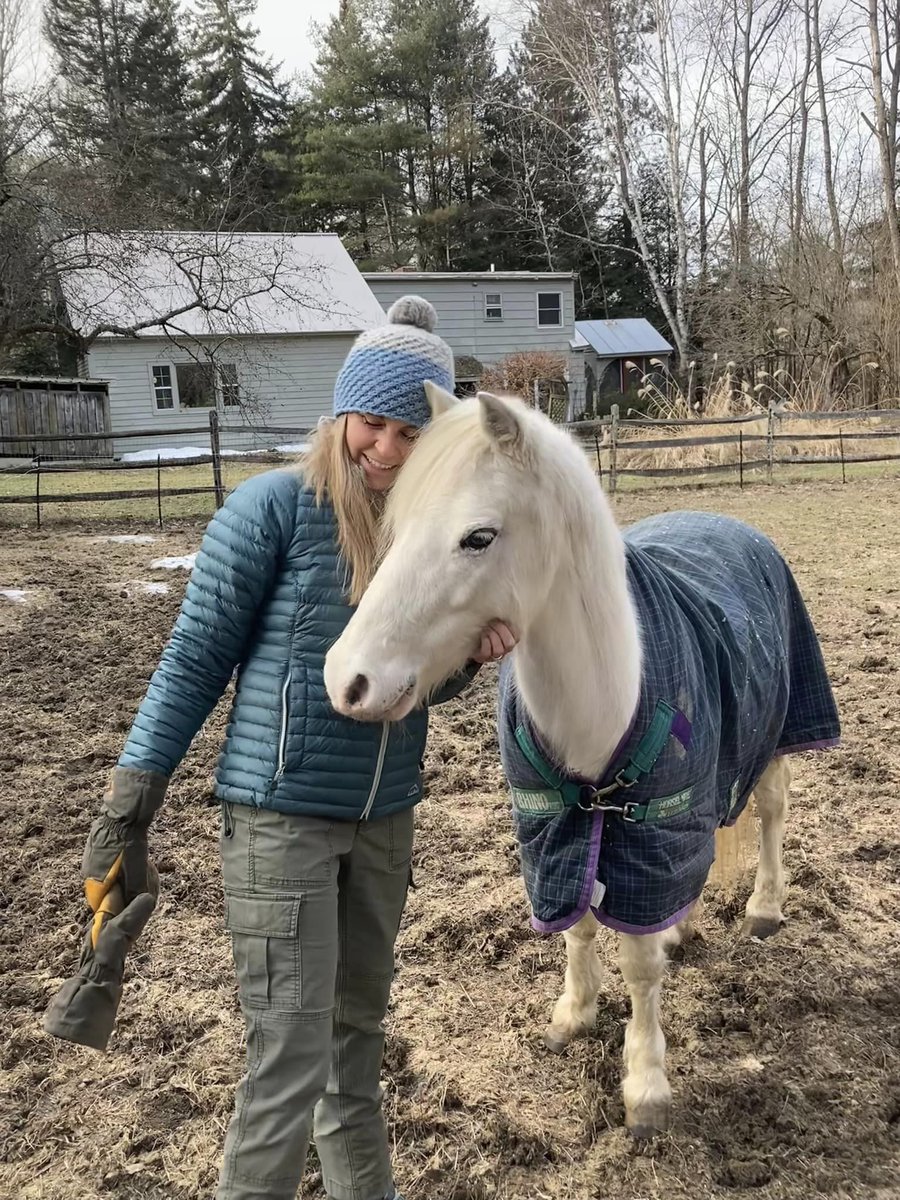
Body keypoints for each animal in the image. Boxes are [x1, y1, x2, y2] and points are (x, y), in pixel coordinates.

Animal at [328, 386, 844, 1132]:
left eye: (478, 537)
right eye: (396, 526)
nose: (347, 680)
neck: (606, 692)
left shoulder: (649, 825)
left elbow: (640, 967)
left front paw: (646, 1082)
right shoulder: (558, 829)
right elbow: (577, 926)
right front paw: (574, 1013)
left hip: (775, 736)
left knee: (773, 812)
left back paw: (765, 909)